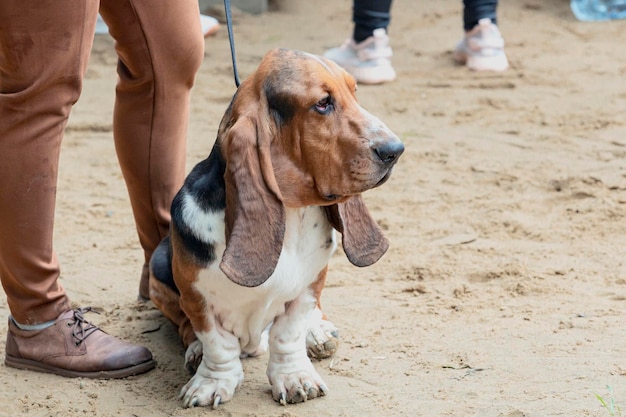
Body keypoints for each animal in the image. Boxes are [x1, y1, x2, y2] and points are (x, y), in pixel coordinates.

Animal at [148, 46, 402, 406]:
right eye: (322, 104)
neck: (293, 216)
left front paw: (296, 377)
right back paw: (195, 351)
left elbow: (288, 334)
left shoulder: (309, 287)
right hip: (157, 271)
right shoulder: (196, 298)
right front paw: (210, 382)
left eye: (355, 92)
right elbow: (217, 343)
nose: (395, 150)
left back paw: (318, 332)